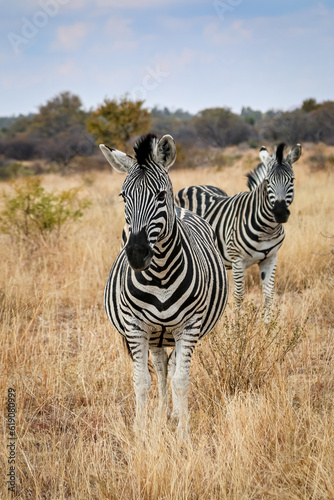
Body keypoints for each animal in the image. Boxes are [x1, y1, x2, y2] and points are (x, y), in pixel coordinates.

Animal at [98, 133, 227, 434]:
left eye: (159, 195)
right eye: (124, 196)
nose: (136, 254)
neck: (161, 274)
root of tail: (181, 207)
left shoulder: (189, 326)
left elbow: (181, 380)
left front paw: (183, 433)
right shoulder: (136, 327)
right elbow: (142, 381)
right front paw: (141, 431)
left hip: (175, 333)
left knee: (174, 367)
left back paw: (175, 415)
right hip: (155, 334)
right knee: (159, 368)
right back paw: (162, 414)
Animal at [176, 144, 302, 324]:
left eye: (292, 180)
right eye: (267, 181)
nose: (280, 213)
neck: (267, 229)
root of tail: (192, 186)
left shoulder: (271, 258)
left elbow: (268, 294)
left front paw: (267, 326)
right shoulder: (238, 261)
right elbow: (239, 296)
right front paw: (238, 327)